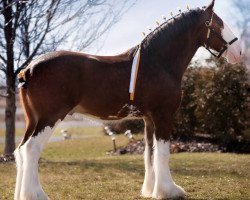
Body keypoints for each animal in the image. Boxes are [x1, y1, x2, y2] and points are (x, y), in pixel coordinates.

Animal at [13, 0, 240, 199]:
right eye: (217, 24)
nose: (238, 52)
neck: (157, 62)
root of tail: (29, 69)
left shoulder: (148, 119)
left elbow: (149, 153)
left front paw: (150, 190)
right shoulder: (163, 115)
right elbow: (163, 153)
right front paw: (169, 191)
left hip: (32, 120)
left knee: (21, 151)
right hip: (50, 118)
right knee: (32, 150)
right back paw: (37, 195)